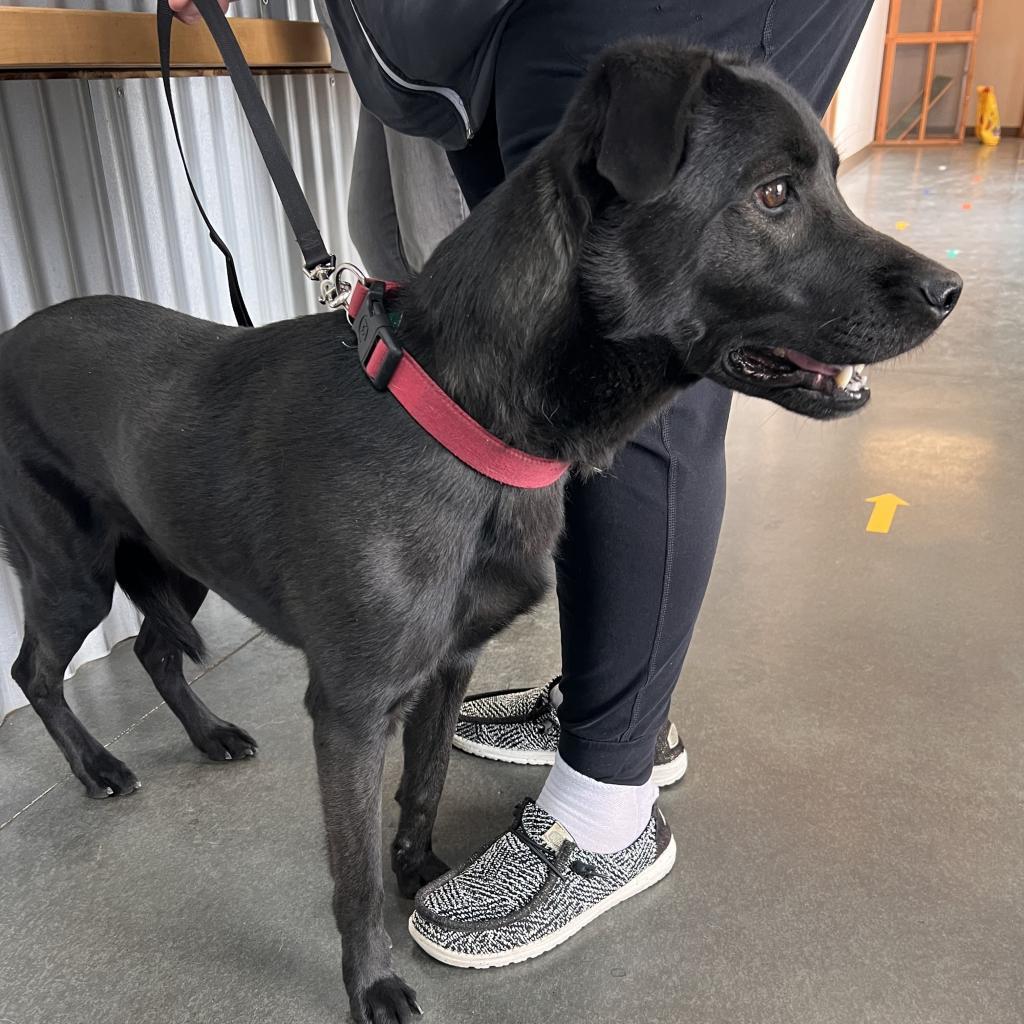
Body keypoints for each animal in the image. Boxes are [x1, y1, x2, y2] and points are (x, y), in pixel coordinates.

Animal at [0, 41, 958, 1024]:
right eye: (773, 194)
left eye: (831, 180)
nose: (948, 291)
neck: (457, 419)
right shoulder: (351, 711)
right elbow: (351, 878)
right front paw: (372, 980)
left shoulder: (449, 665)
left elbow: (424, 785)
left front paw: (421, 872)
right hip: (73, 568)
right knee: (34, 670)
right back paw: (98, 766)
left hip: (174, 551)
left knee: (156, 647)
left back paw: (208, 734)